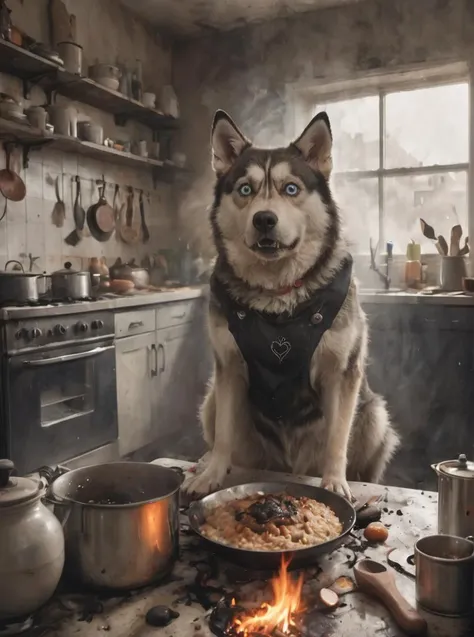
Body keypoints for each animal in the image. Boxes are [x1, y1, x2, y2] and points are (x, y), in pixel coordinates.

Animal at [186, 109, 400, 496]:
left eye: (291, 189)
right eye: (245, 189)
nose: (264, 219)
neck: (277, 296)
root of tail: (287, 465)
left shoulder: (341, 372)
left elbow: (337, 440)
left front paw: (334, 483)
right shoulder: (228, 367)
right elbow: (224, 435)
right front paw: (211, 476)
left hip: (375, 414)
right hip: (211, 401)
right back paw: (207, 461)